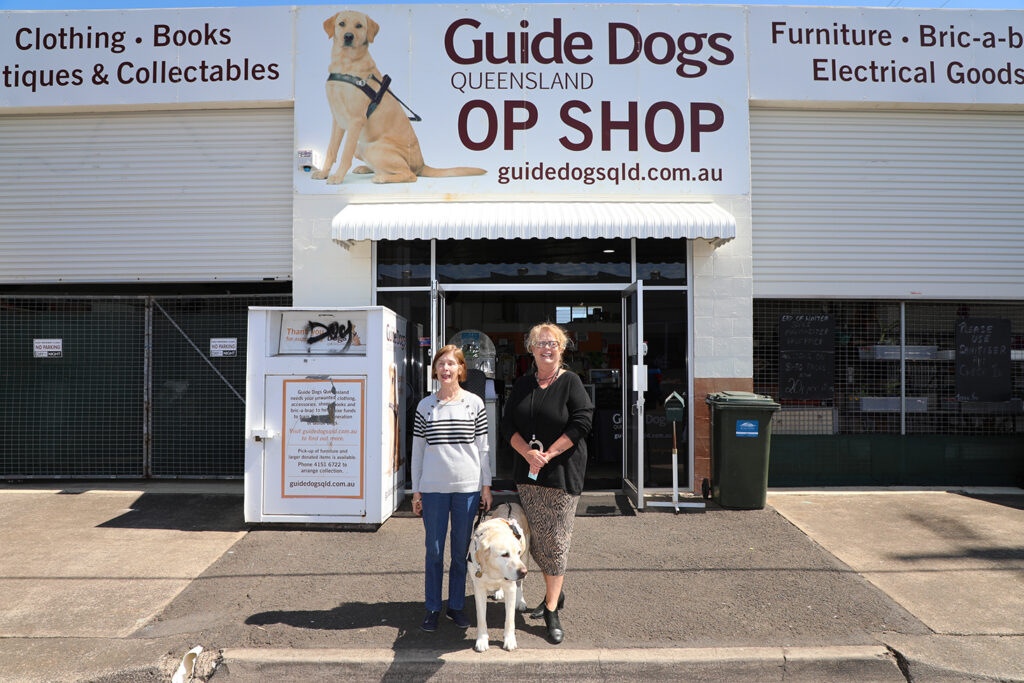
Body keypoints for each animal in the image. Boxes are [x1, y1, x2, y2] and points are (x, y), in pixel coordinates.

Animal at [311, 12, 487, 185]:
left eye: (359, 26)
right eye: (341, 24)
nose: (348, 36)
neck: (345, 63)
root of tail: (422, 164)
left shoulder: (356, 121)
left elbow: (345, 154)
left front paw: (337, 177)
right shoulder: (337, 120)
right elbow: (331, 150)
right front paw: (324, 173)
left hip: (374, 148)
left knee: (409, 175)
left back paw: (382, 178)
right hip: (361, 147)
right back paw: (366, 168)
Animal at [466, 501, 528, 651]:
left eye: (517, 552)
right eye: (504, 554)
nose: (523, 572)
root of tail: (510, 503)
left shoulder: (510, 587)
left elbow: (510, 619)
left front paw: (509, 640)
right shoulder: (479, 588)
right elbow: (481, 618)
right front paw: (482, 640)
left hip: (526, 557)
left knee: (520, 585)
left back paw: (521, 601)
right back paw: (499, 591)